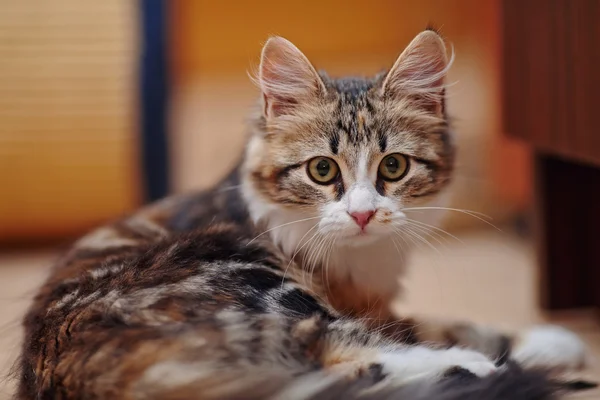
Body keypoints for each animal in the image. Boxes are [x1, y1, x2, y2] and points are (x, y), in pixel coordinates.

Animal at [16, 31, 588, 400]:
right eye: (321, 169)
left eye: (394, 166)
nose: (362, 214)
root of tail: (74, 364)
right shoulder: (349, 302)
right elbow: (434, 328)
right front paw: (543, 342)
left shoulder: (377, 303)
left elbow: (435, 323)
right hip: (251, 278)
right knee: (333, 348)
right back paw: (479, 369)